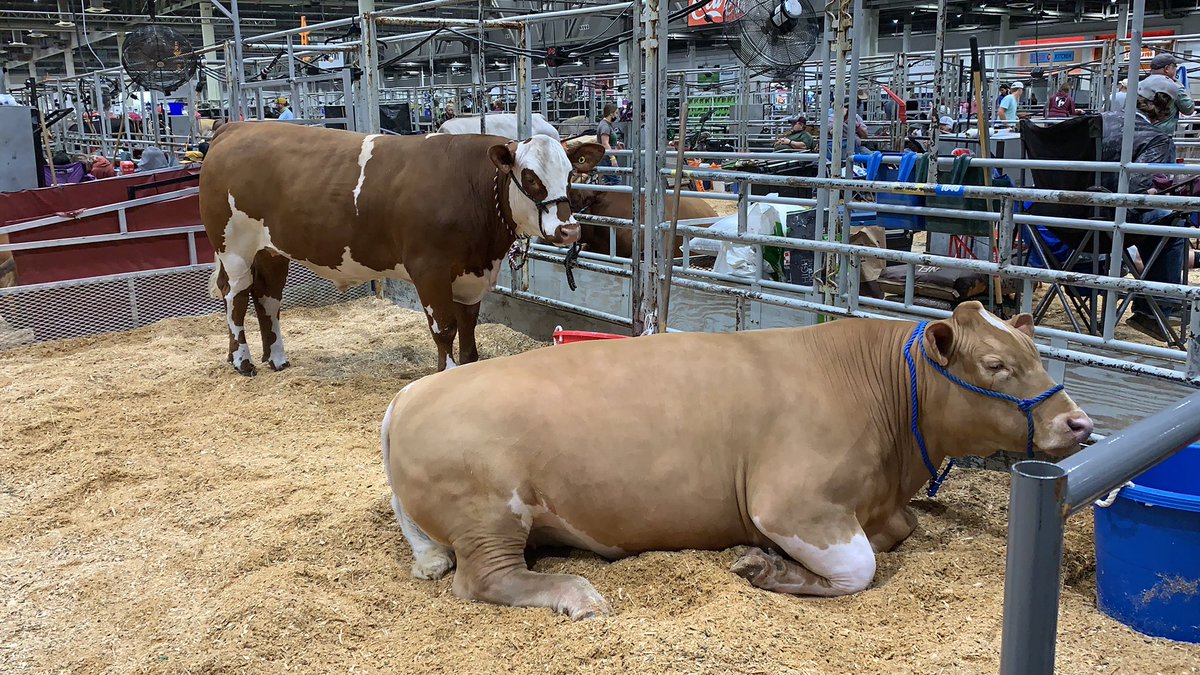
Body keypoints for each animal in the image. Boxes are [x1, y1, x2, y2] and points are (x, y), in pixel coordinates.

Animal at [199, 121, 604, 375]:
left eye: (571, 173)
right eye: (530, 177)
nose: (569, 230)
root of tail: (235, 127)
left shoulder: (470, 275)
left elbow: (468, 328)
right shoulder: (429, 268)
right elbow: (444, 328)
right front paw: (446, 373)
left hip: (271, 251)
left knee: (267, 299)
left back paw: (277, 358)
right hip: (233, 248)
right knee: (236, 296)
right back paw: (242, 361)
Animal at [381, 302, 1093, 619]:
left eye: (1038, 356)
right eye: (996, 365)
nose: (1078, 423)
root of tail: (412, 393)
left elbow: (901, 531)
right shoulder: (791, 501)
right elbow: (859, 568)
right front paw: (766, 566)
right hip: (490, 510)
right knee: (484, 579)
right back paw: (574, 592)